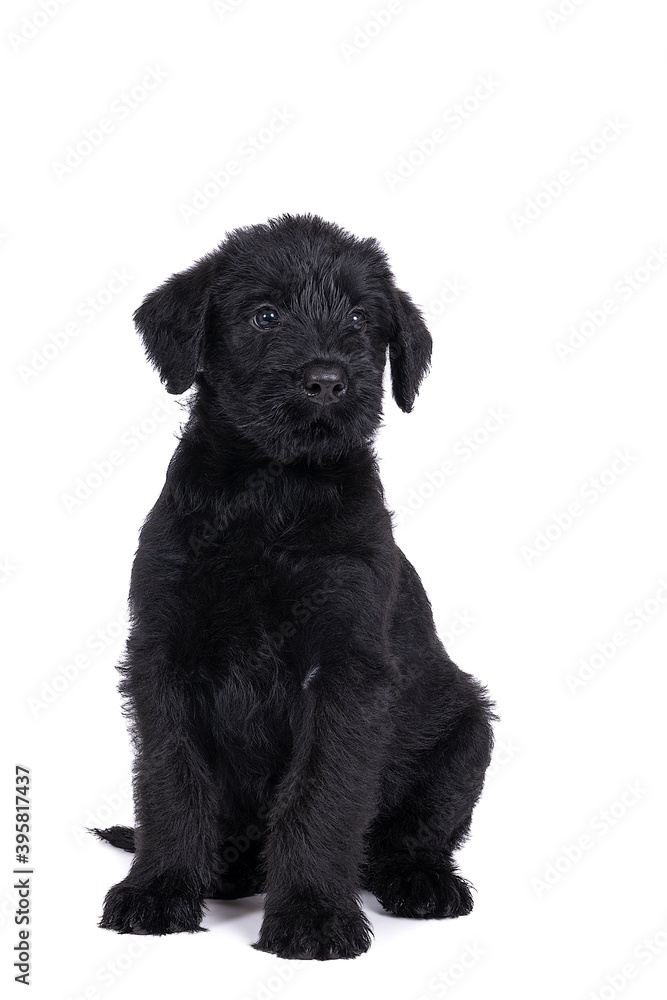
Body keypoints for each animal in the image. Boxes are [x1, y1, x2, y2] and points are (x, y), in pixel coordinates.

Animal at [95, 214, 495, 960]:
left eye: (362, 318)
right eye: (265, 315)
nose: (327, 380)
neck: (270, 492)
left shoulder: (343, 672)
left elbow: (322, 794)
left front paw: (312, 914)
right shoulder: (165, 656)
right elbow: (170, 781)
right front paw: (158, 889)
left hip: (466, 732)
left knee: (412, 837)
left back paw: (422, 882)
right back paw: (221, 871)